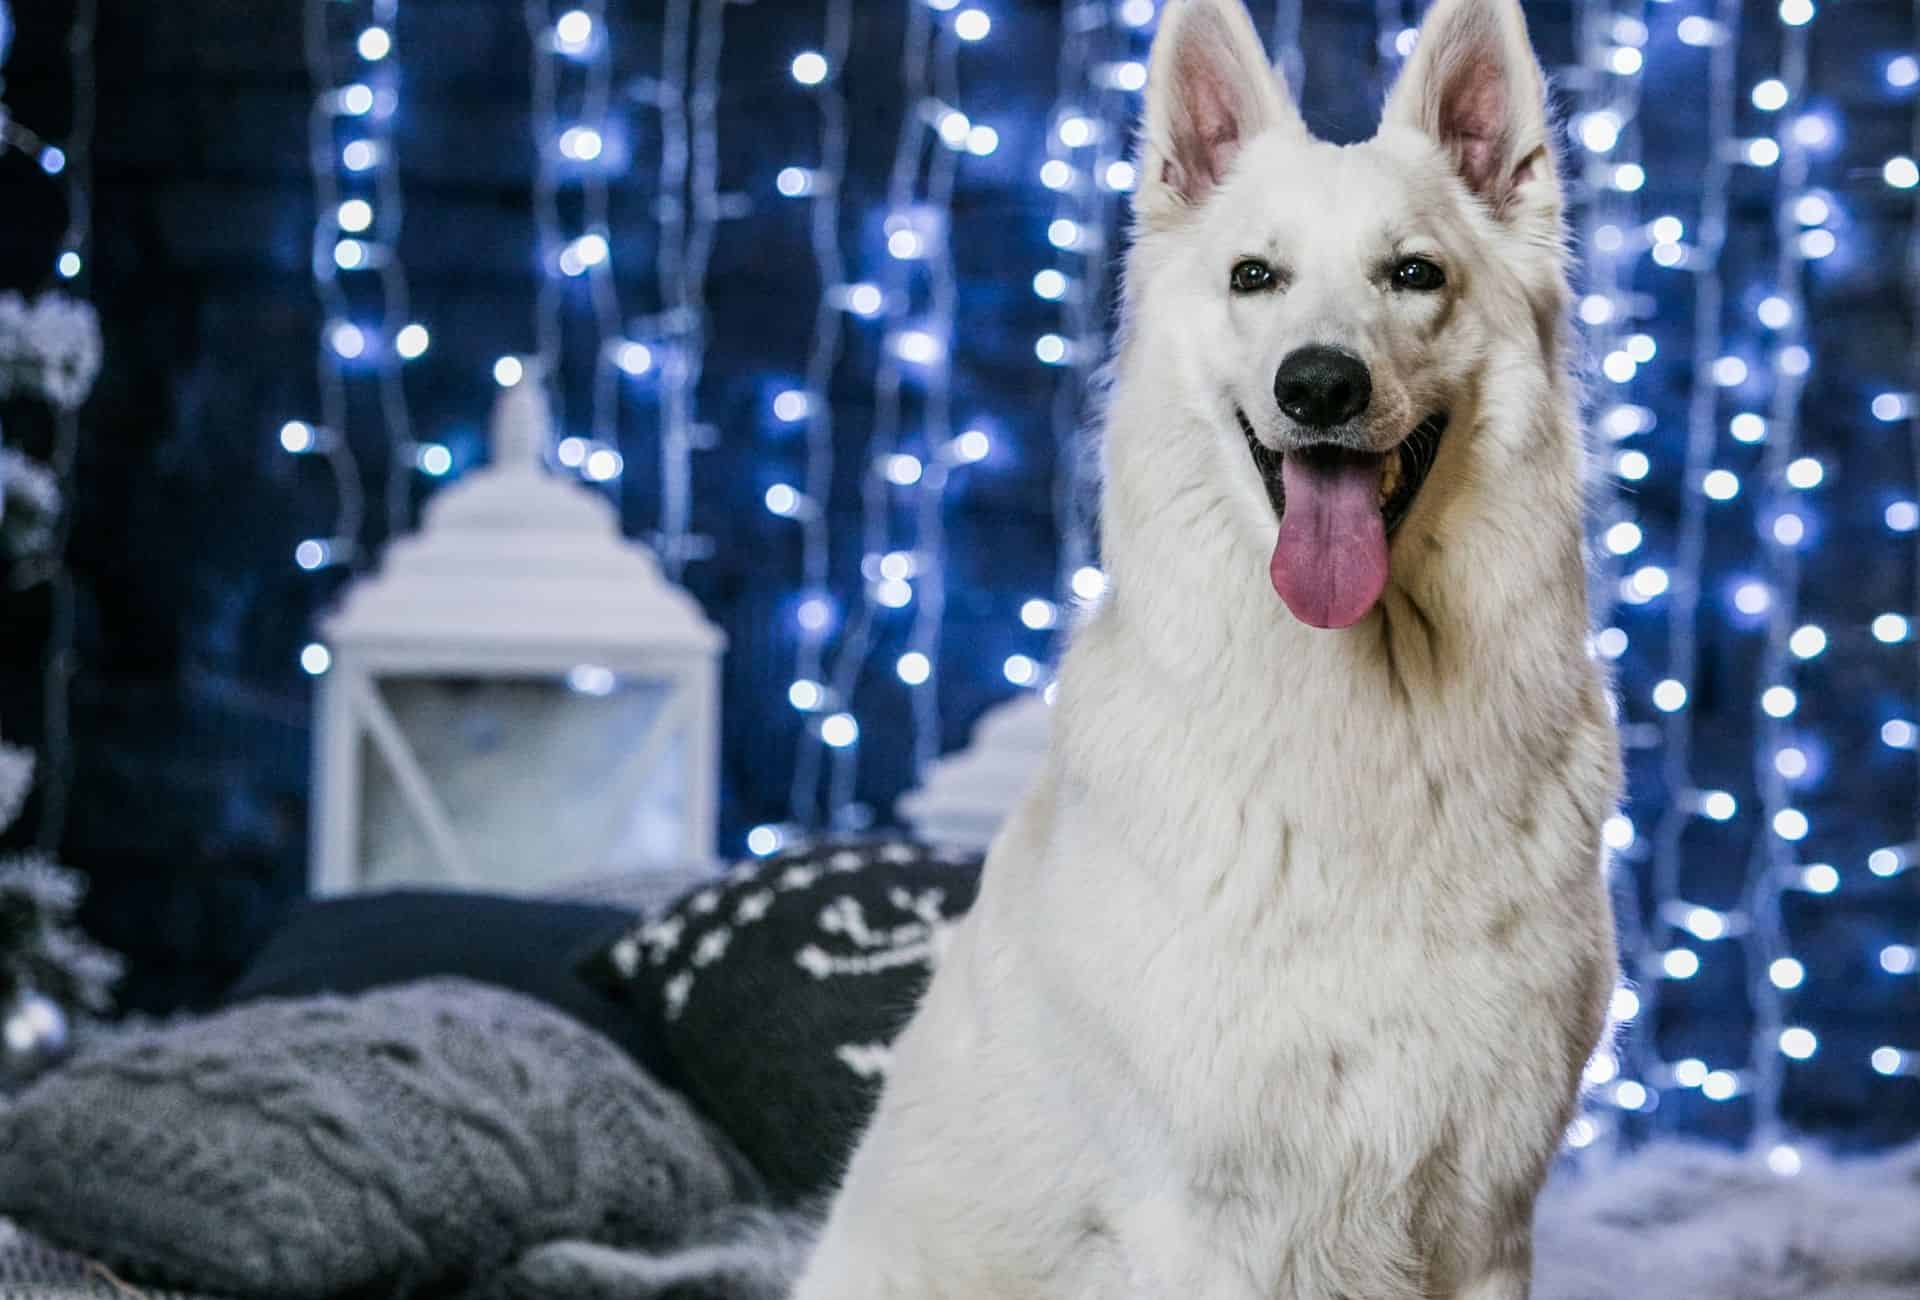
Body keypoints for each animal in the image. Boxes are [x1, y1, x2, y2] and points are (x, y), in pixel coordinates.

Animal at [791, 0, 1620, 1290]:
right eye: (1254, 278)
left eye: (1415, 273)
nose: (1320, 384)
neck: (1365, 719)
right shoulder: (1210, 1218)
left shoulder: (1490, 1218)